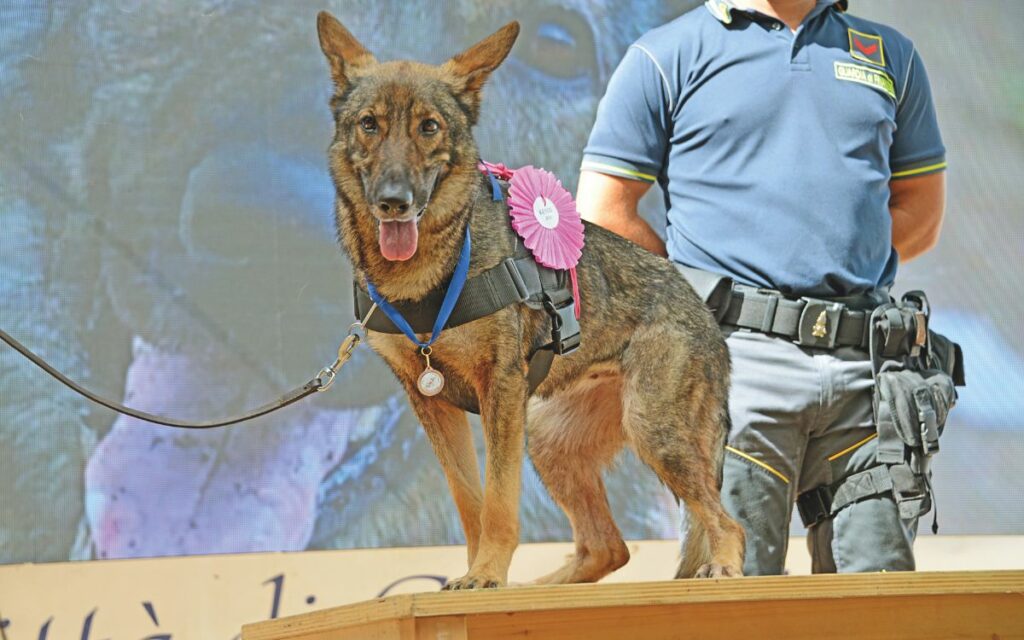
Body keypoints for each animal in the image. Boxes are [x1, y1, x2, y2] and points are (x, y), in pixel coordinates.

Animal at [313, 11, 745, 589]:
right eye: (369, 124)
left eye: (429, 127)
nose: (393, 202)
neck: (429, 277)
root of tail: (706, 313)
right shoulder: (431, 401)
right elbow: (469, 502)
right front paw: (479, 577)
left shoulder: (500, 389)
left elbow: (498, 502)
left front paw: (487, 575)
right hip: (549, 439)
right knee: (608, 547)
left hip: (652, 431)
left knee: (724, 520)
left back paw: (724, 567)